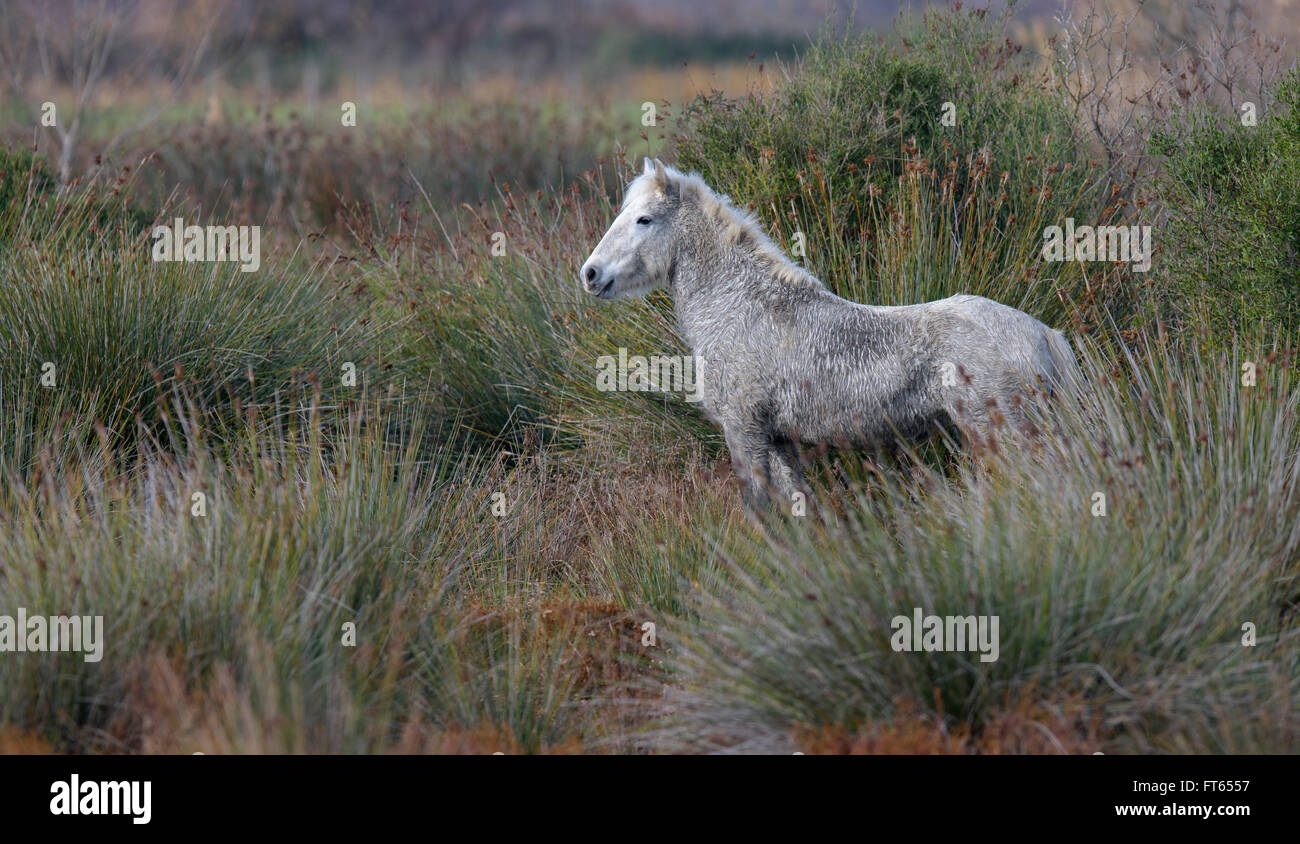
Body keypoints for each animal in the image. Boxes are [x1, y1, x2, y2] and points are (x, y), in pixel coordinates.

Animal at [579, 156, 1076, 507]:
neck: (742, 308)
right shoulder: (778, 442)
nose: (590, 274)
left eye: (644, 219)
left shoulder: (744, 434)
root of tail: (1042, 334)